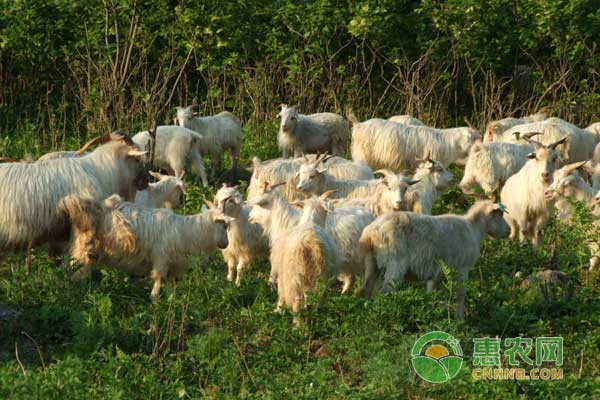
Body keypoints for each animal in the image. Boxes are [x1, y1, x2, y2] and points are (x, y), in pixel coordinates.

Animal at [358, 202, 508, 318]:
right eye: (499, 215)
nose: (508, 231)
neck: (474, 229)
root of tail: (371, 230)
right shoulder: (462, 268)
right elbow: (460, 294)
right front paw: (459, 319)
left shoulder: (438, 273)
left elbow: (434, 295)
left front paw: (435, 313)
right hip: (395, 263)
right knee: (386, 291)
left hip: (371, 260)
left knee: (365, 289)